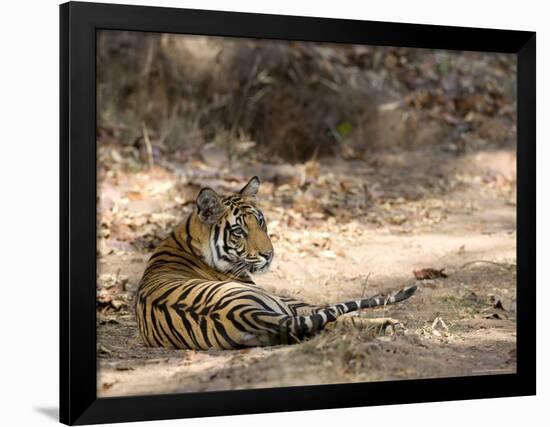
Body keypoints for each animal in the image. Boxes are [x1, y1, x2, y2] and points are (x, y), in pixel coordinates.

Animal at [137, 177, 418, 352]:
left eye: (260, 222)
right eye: (238, 231)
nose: (269, 254)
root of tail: (245, 313)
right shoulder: (293, 302)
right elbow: (336, 311)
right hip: (282, 306)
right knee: (332, 319)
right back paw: (390, 325)